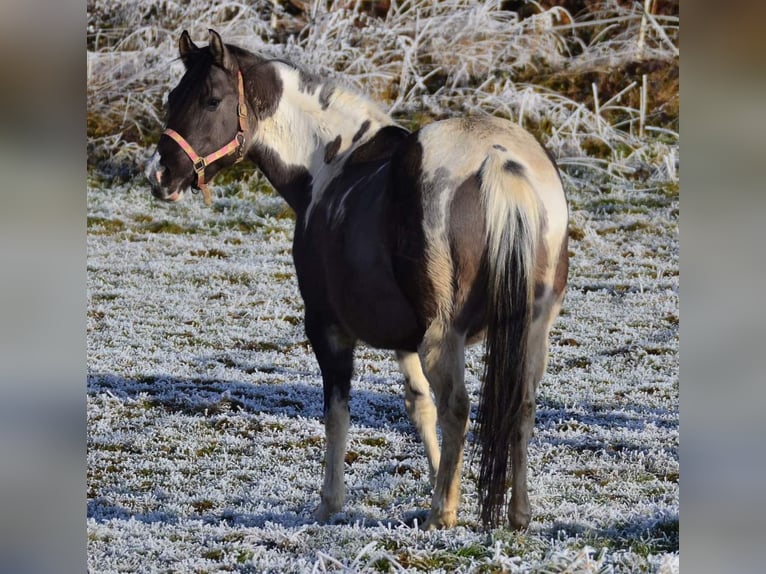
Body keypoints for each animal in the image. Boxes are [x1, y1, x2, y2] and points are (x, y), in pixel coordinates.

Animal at [147, 28, 568, 532]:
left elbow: (337, 415)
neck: (332, 165)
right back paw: (516, 514)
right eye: (174, 97)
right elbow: (418, 405)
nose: (160, 174)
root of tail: (497, 160)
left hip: (444, 336)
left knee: (459, 407)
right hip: (530, 330)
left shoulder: (329, 329)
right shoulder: (405, 338)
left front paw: (329, 503)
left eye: (212, 101)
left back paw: (441, 515)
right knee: (520, 405)